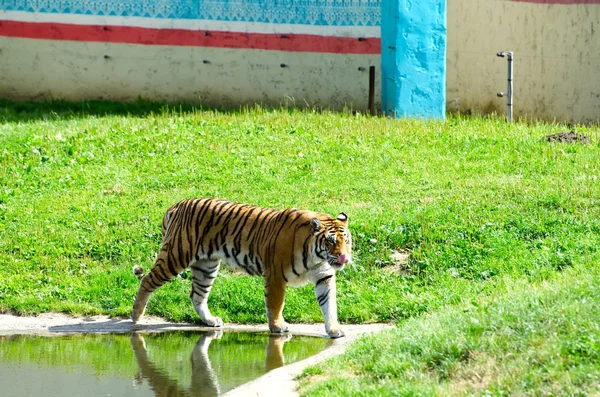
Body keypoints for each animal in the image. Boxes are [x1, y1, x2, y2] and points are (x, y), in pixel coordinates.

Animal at [131, 197, 352, 338]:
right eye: (331, 241)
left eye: (346, 240)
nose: (344, 257)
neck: (317, 257)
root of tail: (176, 206)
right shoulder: (275, 276)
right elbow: (276, 304)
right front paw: (278, 326)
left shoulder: (324, 277)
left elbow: (329, 305)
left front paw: (334, 330)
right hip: (175, 256)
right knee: (147, 280)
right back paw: (136, 316)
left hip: (206, 267)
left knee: (197, 296)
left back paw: (210, 320)